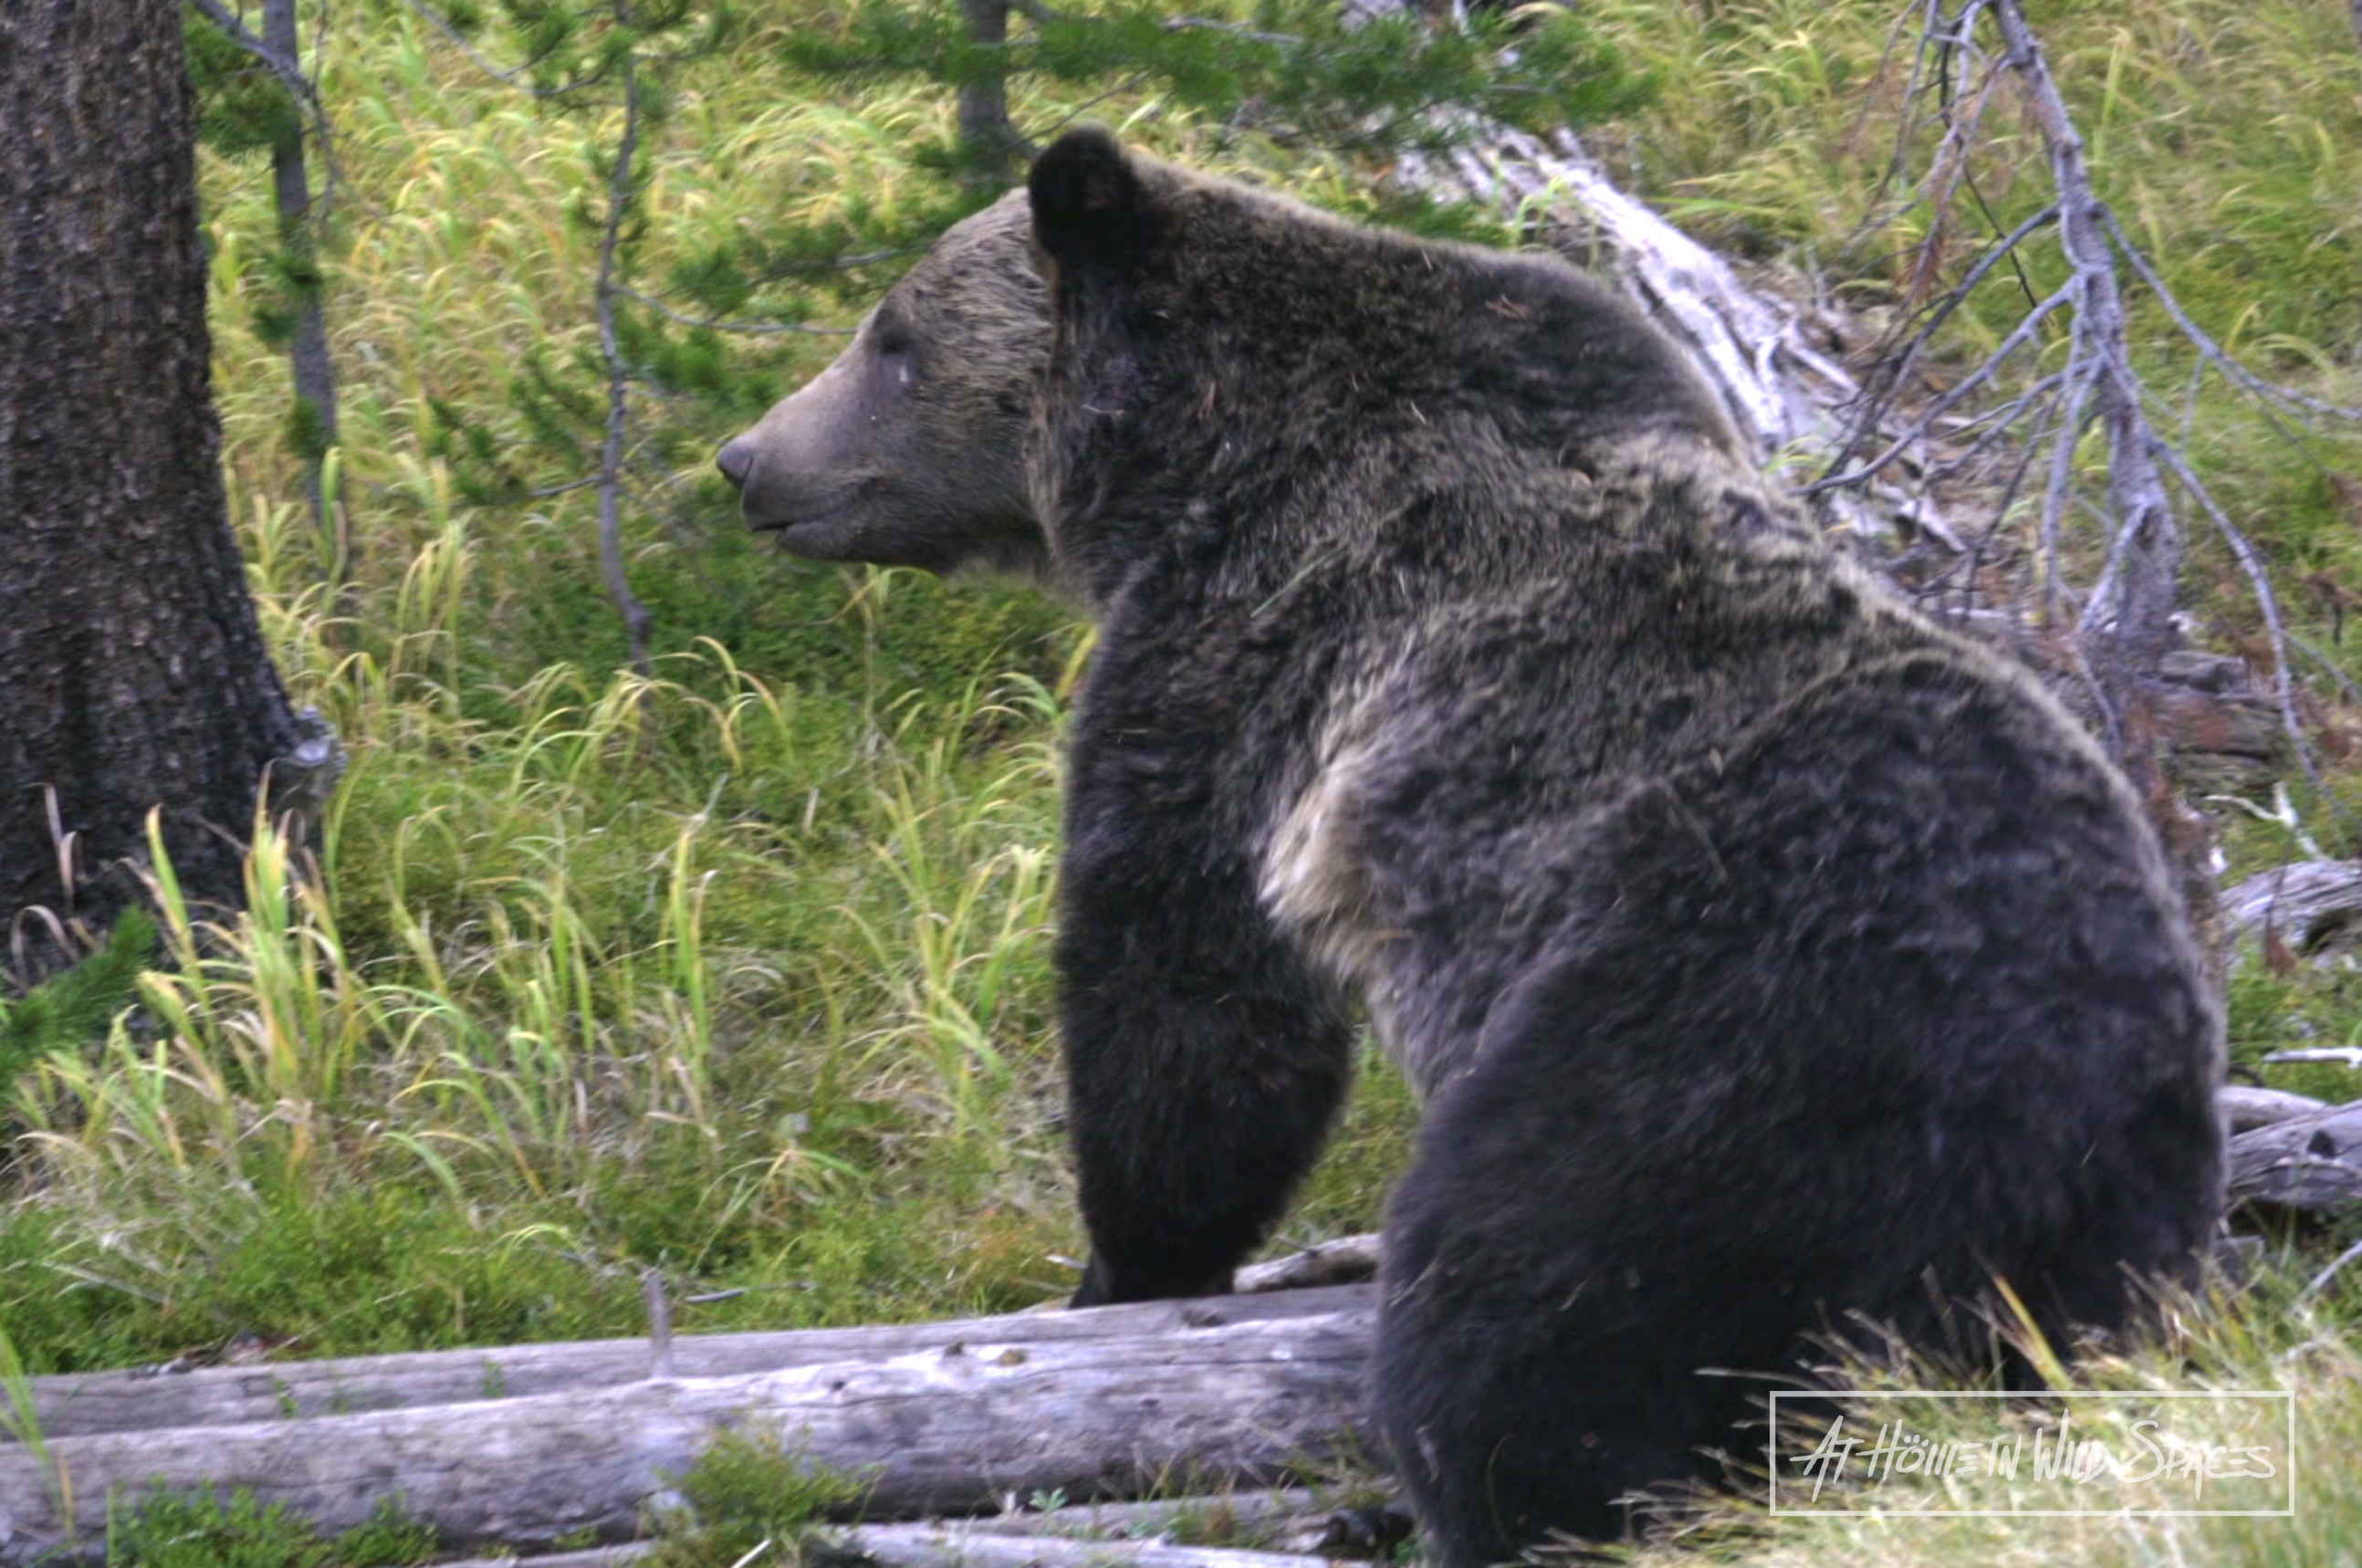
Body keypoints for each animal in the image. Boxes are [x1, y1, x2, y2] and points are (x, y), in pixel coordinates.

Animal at [719, 130, 2225, 1568]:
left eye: (893, 333)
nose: (746, 456)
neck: (1188, 460)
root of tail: (2060, 1076)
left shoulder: (1251, 656)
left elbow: (1186, 985)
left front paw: (1125, 1263)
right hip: (2103, 1228)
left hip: (1701, 1072)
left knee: (1513, 1328)